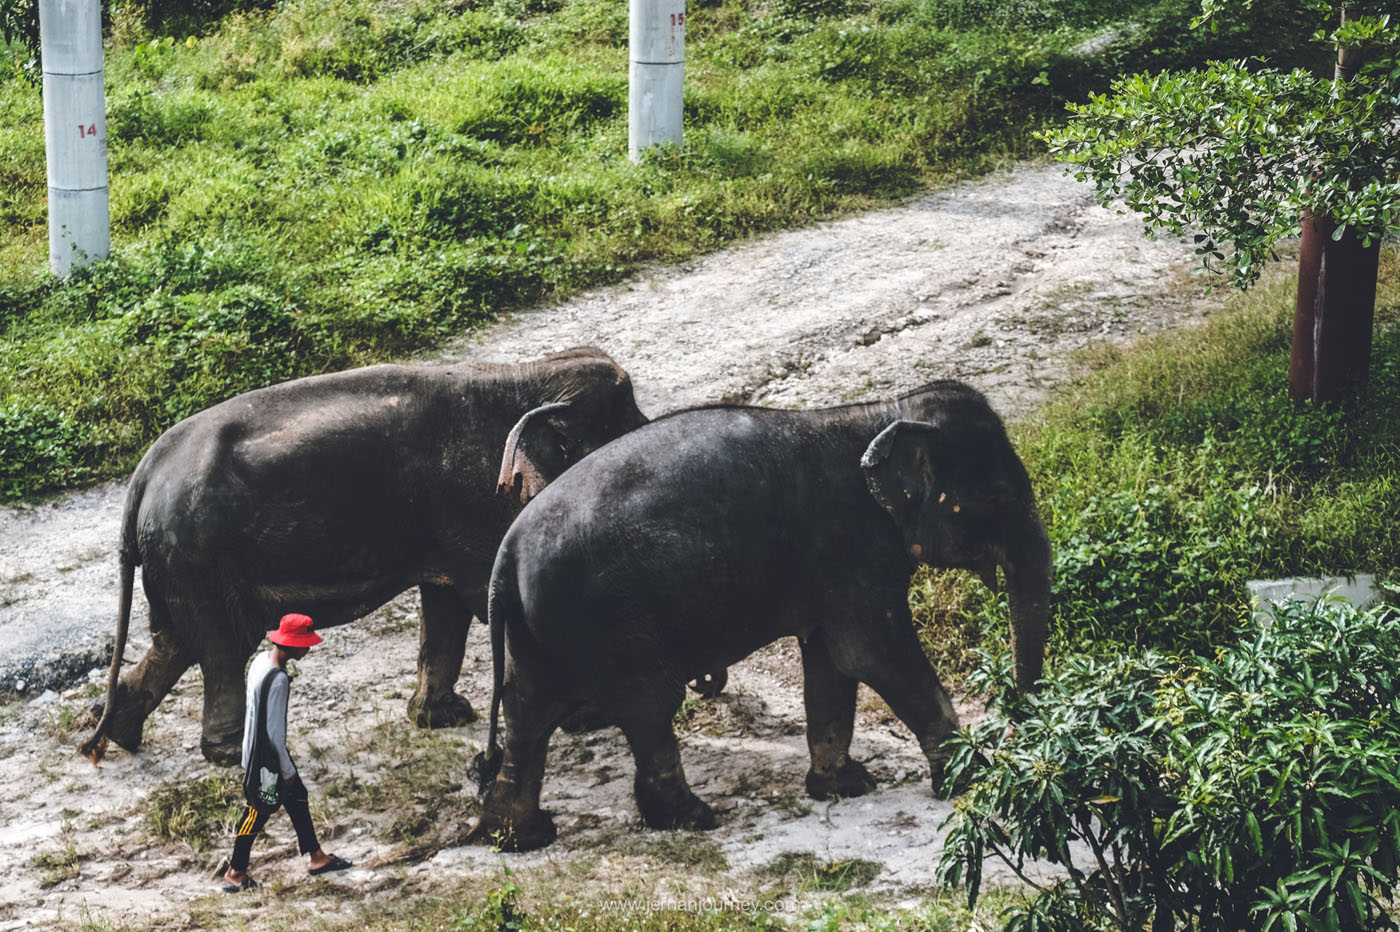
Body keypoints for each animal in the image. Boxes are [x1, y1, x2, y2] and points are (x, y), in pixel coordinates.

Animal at [86, 344, 649, 761]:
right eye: (622, 422)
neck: (525, 375)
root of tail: (142, 479)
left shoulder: (443, 519)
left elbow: (446, 604)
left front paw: (439, 718)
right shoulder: (474, 498)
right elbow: (485, 600)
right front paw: (587, 717)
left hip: (178, 563)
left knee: (176, 642)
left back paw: (115, 733)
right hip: (196, 554)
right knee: (221, 648)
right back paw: (226, 754)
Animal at [470, 380, 1052, 850]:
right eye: (998, 498)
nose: (1014, 735)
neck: (884, 412)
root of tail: (506, 555)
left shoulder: (830, 568)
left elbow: (833, 662)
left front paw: (844, 786)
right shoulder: (848, 546)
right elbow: (871, 653)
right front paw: (973, 779)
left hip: (541, 625)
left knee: (528, 713)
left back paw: (520, 837)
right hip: (604, 622)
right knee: (647, 707)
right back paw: (692, 818)